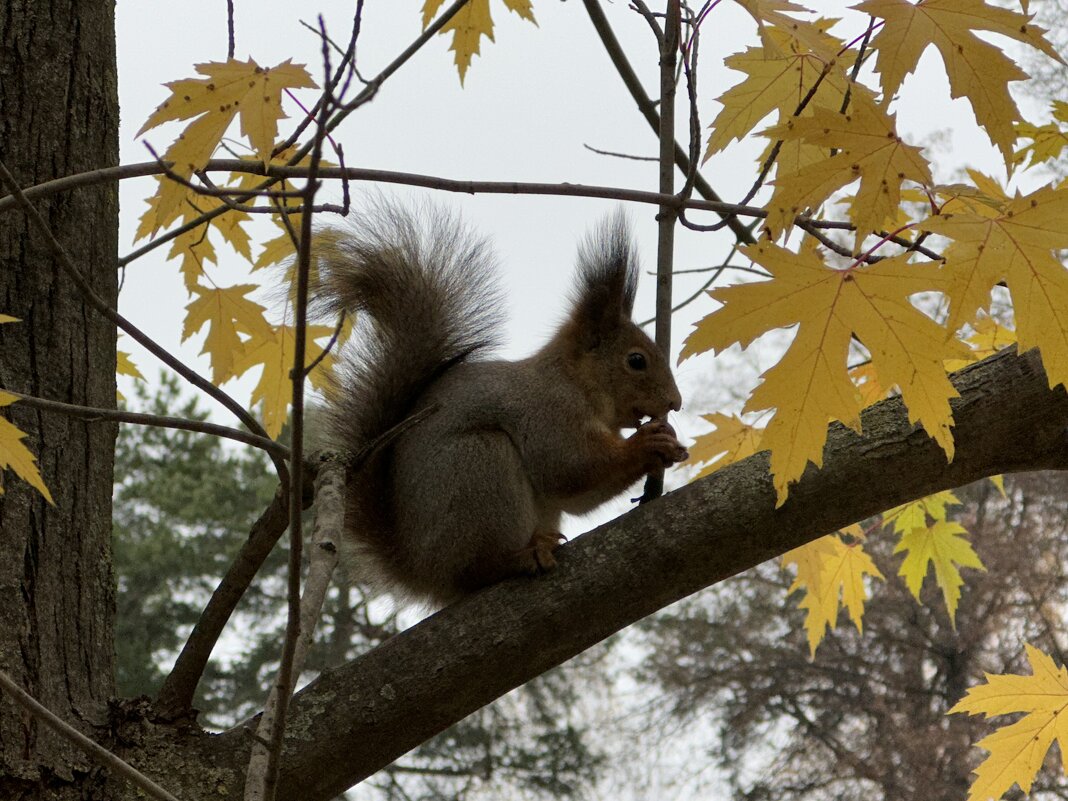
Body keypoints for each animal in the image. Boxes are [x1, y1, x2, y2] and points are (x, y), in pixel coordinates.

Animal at [313, 203, 683, 606]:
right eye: (636, 360)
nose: (675, 403)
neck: (576, 383)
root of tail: (420, 571)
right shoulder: (548, 412)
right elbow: (568, 469)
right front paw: (647, 444)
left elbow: (578, 498)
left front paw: (669, 444)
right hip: (478, 468)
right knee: (475, 569)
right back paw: (520, 557)